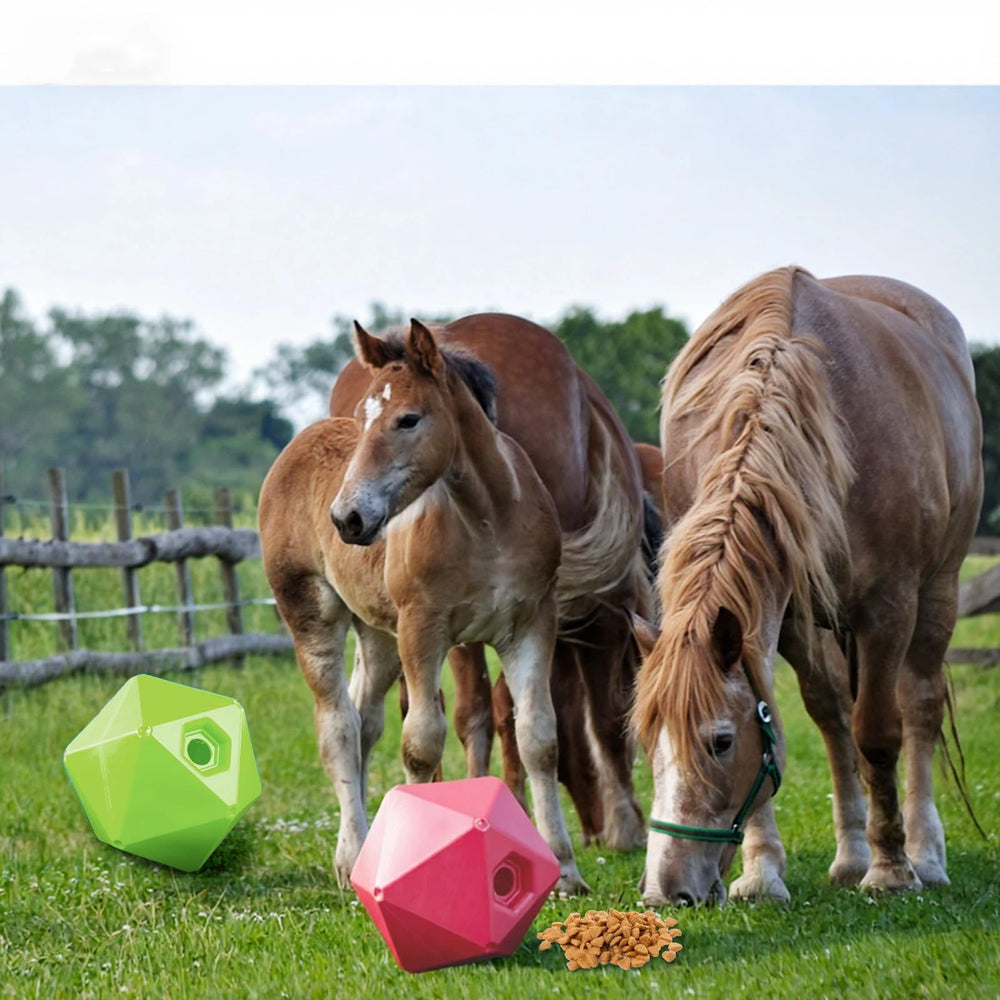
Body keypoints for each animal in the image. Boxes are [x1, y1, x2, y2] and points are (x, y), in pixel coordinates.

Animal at [259, 319, 587, 894]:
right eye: (363, 416)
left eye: (408, 419)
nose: (347, 518)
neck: (488, 520)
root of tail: (297, 445)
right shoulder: (423, 629)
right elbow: (421, 745)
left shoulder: (532, 625)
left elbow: (539, 739)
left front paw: (565, 870)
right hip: (311, 612)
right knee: (338, 727)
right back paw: (352, 857)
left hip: (378, 635)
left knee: (364, 718)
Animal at [330, 313, 651, 850]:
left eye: (409, 420)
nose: (347, 517)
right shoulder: (602, 613)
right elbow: (606, 714)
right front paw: (626, 824)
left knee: (451, 710)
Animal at [631, 267, 983, 906]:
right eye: (649, 744)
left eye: (720, 741)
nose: (665, 891)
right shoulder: (786, 615)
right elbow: (797, 715)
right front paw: (764, 871)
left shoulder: (888, 607)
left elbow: (879, 734)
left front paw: (891, 868)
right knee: (833, 716)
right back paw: (851, 855)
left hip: (939, 591)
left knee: (918, 708)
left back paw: (923, 853)